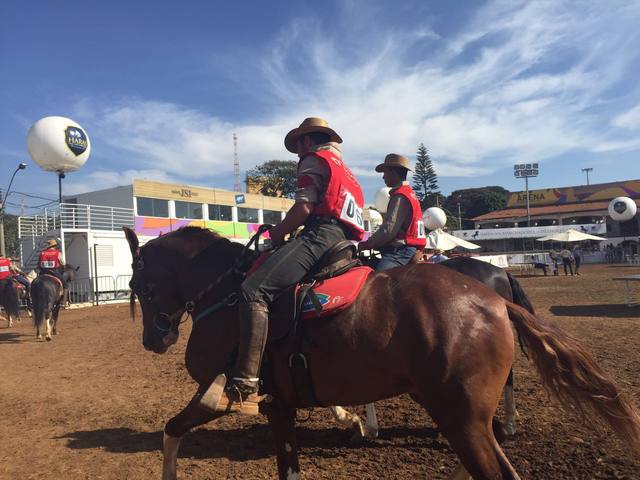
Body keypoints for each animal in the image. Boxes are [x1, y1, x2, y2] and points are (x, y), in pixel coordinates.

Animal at [122, 228, 636, 480]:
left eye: (138, 285)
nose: (153, 340)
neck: (226, 292)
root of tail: (492, 296)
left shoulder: (217, 393)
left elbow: (172, 430)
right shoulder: (280, 406)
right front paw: (355, 422)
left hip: (463, 419)